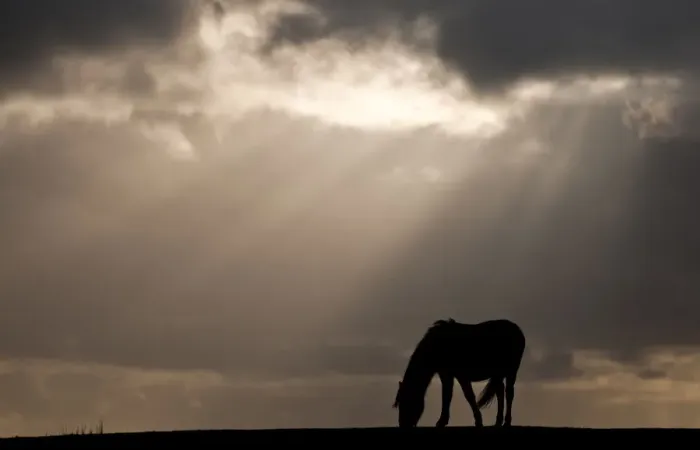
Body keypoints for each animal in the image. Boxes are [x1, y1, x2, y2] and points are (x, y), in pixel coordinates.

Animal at [392, 318, 526, 428]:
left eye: (408, 400)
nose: (403, 425)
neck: (437, 345)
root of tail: (517, 330)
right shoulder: (446, 374)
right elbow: (447, 395)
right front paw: (443, 421)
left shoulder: (460, 375)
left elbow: (467, 396)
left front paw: (477, 421)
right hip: (498, 374)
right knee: (500, 392)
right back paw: (498, 422)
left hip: (511, 370)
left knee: (509, 393)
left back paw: (507, 422)